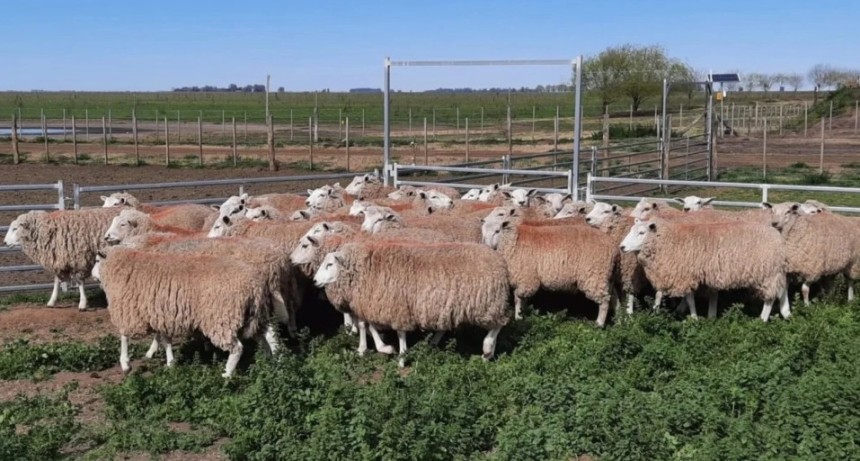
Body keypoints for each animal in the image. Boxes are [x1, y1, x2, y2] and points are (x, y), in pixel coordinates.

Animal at [92, 246, 278, 377]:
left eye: (96, 260)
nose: (92, 275)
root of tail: (254, 284)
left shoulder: (128, 310)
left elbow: (124, 336)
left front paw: (125, 364)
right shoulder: (161, 313)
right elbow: (165, 339)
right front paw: (170, 362)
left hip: (221, 317)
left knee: (237, 348)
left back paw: (226, 375)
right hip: (256, 313)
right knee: (269, 335)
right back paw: (275, 360)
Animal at [312, 241, 512, 365]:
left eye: (329, 264)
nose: (314, 281)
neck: (367, 269)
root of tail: (501, 263)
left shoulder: (396, 307)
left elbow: (399, 333)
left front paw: (400, 357)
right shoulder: (375, 304)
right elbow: (367, 325)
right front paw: (379, 348)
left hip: (488, 304)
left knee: (499, 325)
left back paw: (487, 350)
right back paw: (435, 342)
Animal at [482, 219, 618, 325]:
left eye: (497, 231)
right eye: (483, 232)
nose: (487, 247)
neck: (513, 241)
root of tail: (614, 247)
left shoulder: (527, 278)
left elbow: (518, 297)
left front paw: (518, 317)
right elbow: (521, 299)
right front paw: (522, 314)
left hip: (594, 275)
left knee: (604, 301)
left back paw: (599, 324)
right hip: (608, 277)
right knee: (614, 299)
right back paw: (619, 321)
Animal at [619, 219, 790, 322]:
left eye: (641, 233)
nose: (621, 247)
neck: (669, 240)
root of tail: (778, 237)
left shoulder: (685, 274)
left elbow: (689, 299)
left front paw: (694, 318)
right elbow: (680, 296)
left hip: (767, 273)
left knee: (770, 297)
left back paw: (762, 319)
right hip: (775, 271)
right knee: (782, 289)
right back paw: (786, 313)